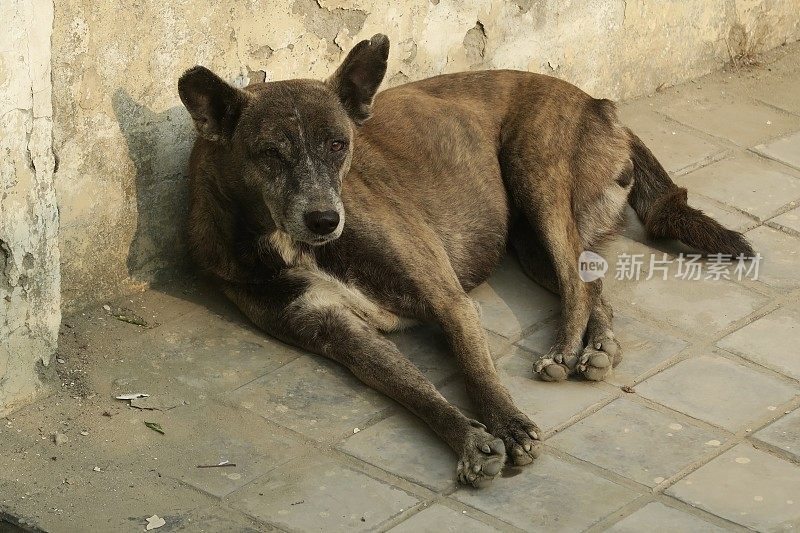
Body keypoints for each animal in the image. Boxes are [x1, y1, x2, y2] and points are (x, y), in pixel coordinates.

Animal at [177, 31, 756, 484]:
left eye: (340, 145)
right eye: (269, 153)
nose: (324, 220)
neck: (287, 243)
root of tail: (598, 101)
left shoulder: (447, 299)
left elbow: (475, 368)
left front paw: (507, 422)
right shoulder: (335, 334)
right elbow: (412, 387)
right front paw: (469, 440)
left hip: (536, 176)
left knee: (576, 281)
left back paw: (566, 348)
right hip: (530, 242)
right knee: (590, 281)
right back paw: (597, 345)